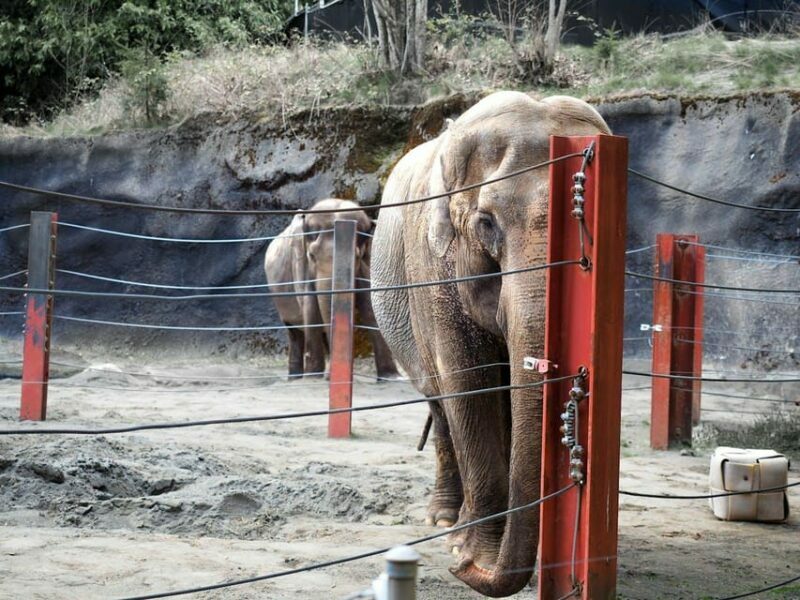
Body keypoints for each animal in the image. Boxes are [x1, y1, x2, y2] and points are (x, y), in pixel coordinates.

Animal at [264, 198, 400, 380]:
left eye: (356, 257)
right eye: (311, 256)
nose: (328, 376)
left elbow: (369, 306)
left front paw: (391, 378)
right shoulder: (300, 263)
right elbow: (310, 306)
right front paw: (313, 377)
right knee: (294, 332)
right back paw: (296, 378)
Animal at [371, 92, 610, 597]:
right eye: (485, 224)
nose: (461, 569)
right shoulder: (433, 267)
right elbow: (469, 383)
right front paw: (469, 552)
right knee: (441, 406)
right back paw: (446, 522)